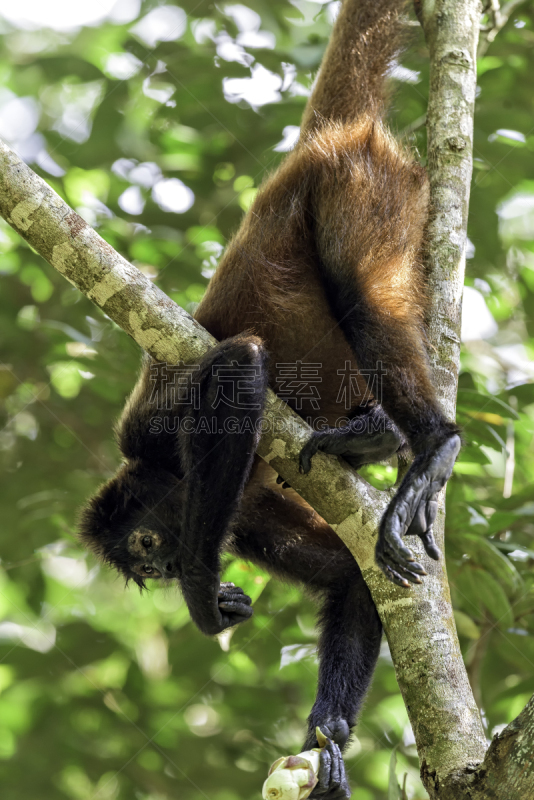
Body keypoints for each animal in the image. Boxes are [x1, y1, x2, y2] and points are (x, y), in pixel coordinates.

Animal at [77, 3, 462, 796]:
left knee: (360, 294)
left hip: (356, 190)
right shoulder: (246, 514)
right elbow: (352, 576)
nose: (163, 573)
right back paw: (377, 433)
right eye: (142, 571)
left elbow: (240, 367)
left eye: (146, 548)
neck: (169, 476)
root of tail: (323, 142)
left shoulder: (154, 433)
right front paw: (327, 739)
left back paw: (432, 440)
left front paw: (202, 599)